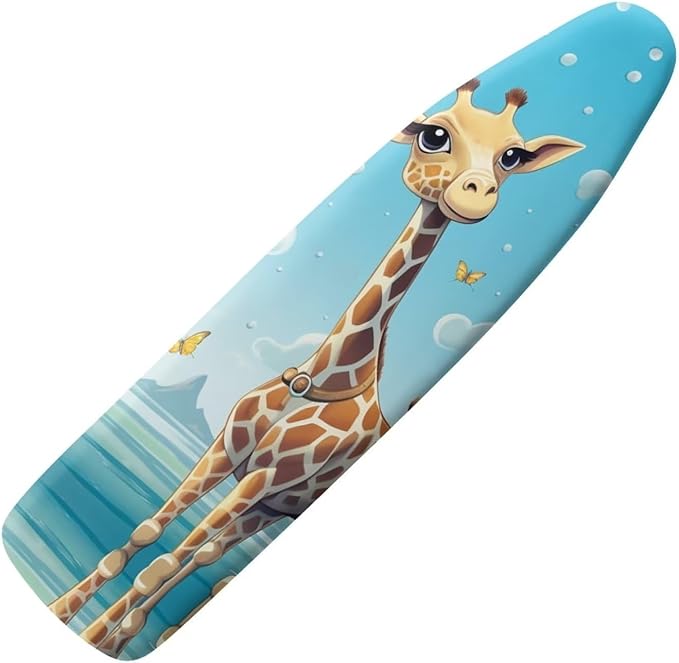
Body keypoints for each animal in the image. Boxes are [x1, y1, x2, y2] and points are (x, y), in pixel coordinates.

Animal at [52, 78, 584, 656]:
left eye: (513, 156)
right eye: (434, 135)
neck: (322, 379)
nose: (475, 194)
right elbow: (143, 537)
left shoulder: (266, 477)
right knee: (203, 558)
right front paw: (66, 616)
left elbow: (165, 562)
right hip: (268, 509)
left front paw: (96, 634)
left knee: (207, 568)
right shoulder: (225, 453)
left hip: (273, 506)